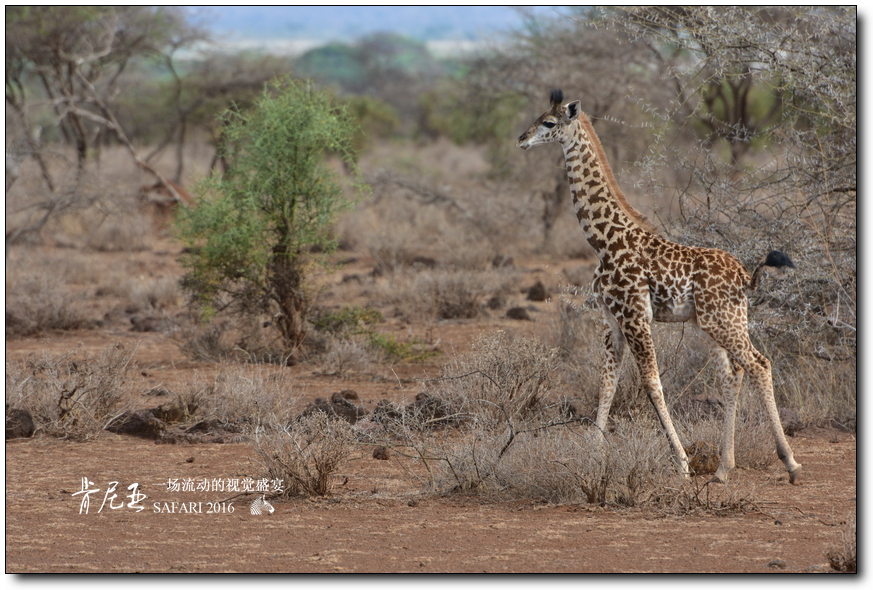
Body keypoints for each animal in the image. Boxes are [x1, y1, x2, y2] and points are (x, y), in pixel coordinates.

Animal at [516, 89, 800, 486]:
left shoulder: (635, 316)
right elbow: (607, 383)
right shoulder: (613, 321)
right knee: (733, 374)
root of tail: (746, 276)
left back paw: (790, 463)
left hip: (722, 321)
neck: (603, 241)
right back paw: (722, 469)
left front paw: (681, 462)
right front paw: (593, 455)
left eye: (548, 122)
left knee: (759, 364)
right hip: (715, 323)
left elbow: (651, 383)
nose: (521, 139)